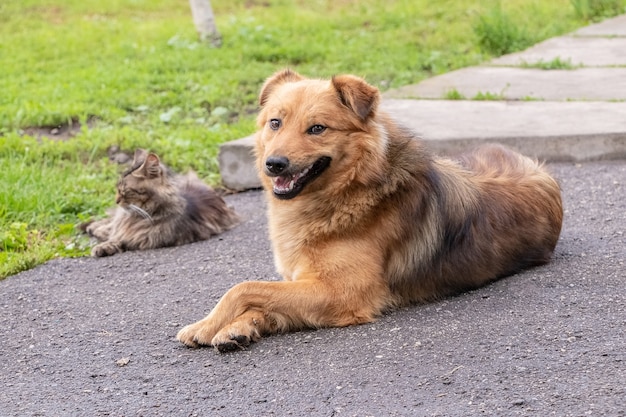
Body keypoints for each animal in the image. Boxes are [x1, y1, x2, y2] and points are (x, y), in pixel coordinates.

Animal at [83, 148, 239, 255]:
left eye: (124, 191)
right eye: (117, 189)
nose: (116, 201)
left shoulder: (147, 239)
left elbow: (121, 240)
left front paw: (102, 246)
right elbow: (115, 232)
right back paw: (95, 227)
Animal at [176, 68, 560, 352]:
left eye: (317, 128)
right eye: (275, 123)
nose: (274, 164)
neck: (347, 193)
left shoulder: (342, 293)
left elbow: (244, 288)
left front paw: (205, 324)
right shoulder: (302, 282)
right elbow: (261, 297)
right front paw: (235, 327)